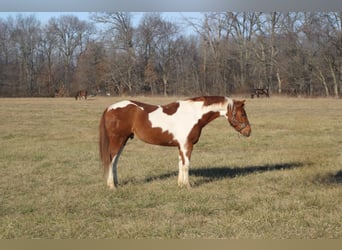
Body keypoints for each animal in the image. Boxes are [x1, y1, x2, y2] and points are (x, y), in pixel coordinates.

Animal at [99, 95, 251, 189]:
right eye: (243, 114)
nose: (248, 131)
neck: (193, 114)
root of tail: (109, 108)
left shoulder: (180, 146)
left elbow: (180, 164)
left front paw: (180, 185)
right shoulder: (187, 146)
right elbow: (186, 165)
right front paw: (188, 186)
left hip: (123, 141)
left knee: (115, 162)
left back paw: (116, 183)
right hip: (117, 140)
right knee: (111, 160)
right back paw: (112, 186)